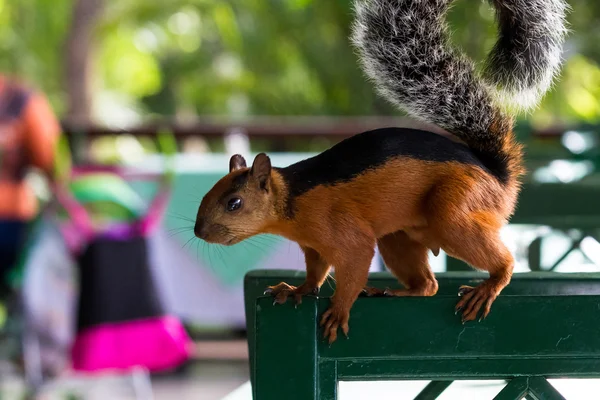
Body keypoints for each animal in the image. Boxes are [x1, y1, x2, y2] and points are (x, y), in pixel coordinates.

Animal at [196, 0, 568, 344]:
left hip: (457, 206)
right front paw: (298, 290)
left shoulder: (342, 232)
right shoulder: (313, 246)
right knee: (427, 285)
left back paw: (489, 285)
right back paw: (394, 291)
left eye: (234, 203)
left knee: (492, 258)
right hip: (400, 236)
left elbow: (354, 264)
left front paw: (338, 310)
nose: (199, 232)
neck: (293, 200)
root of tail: (497, 176)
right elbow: (316, 272)